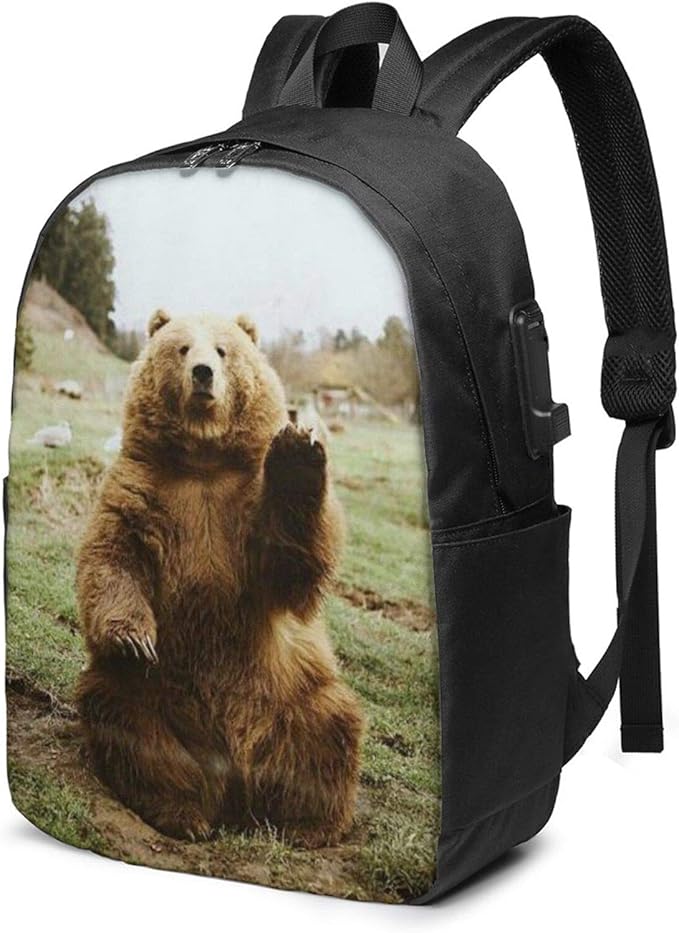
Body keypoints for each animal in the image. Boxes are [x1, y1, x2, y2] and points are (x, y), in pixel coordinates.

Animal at [76, 309, 364, 845]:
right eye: (183, 348)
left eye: (224, 350)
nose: (204, 374)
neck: (203, 460)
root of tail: (234, 779)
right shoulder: (142, 490)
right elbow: (113, 557)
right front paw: (133, 638)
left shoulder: (244, 508)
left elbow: (290, 565)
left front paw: (297, 451)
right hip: (156, 696)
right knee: (127, 721)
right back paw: (182, 811)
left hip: (292, 690)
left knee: (329, 729)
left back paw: (308, 825)